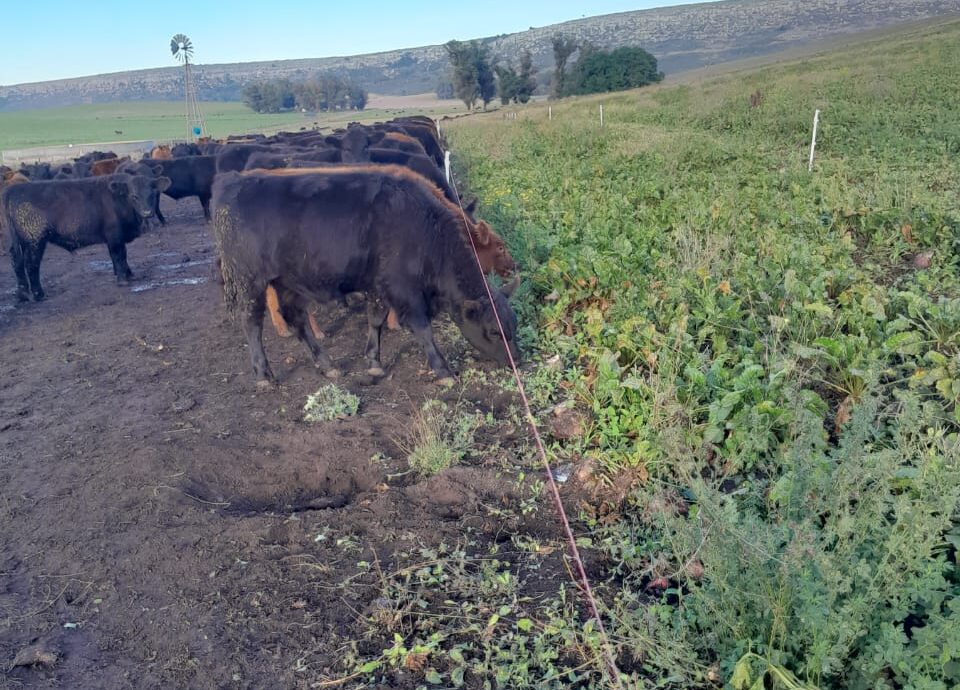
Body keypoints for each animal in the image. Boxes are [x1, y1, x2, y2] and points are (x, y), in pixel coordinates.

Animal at [2, 173, 171, 301]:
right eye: (134, 196)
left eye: (153, 194)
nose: (147, 212)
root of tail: (13, 189)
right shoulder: (114, 236)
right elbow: (119, 255)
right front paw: (123, 279)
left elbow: (121, 256)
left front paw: (128, 274)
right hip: (35, 241)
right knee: (31, 264)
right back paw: (39, 295)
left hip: (21, 241)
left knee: (17, 261)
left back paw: (23, 294)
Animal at [211, 167, 519, 386]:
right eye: (494, 331)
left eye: (513, 325)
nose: (516, 360)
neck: (424, 227)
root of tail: (233, 181)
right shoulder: (403, 289)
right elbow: (423, 329)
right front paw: (443, 370)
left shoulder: (378, 286)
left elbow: (375, 320)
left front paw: (374, 362)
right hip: (250, 282)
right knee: (252, 323)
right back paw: (264, 374)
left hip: (288, 282)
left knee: (296, 319)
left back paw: (327, 365)